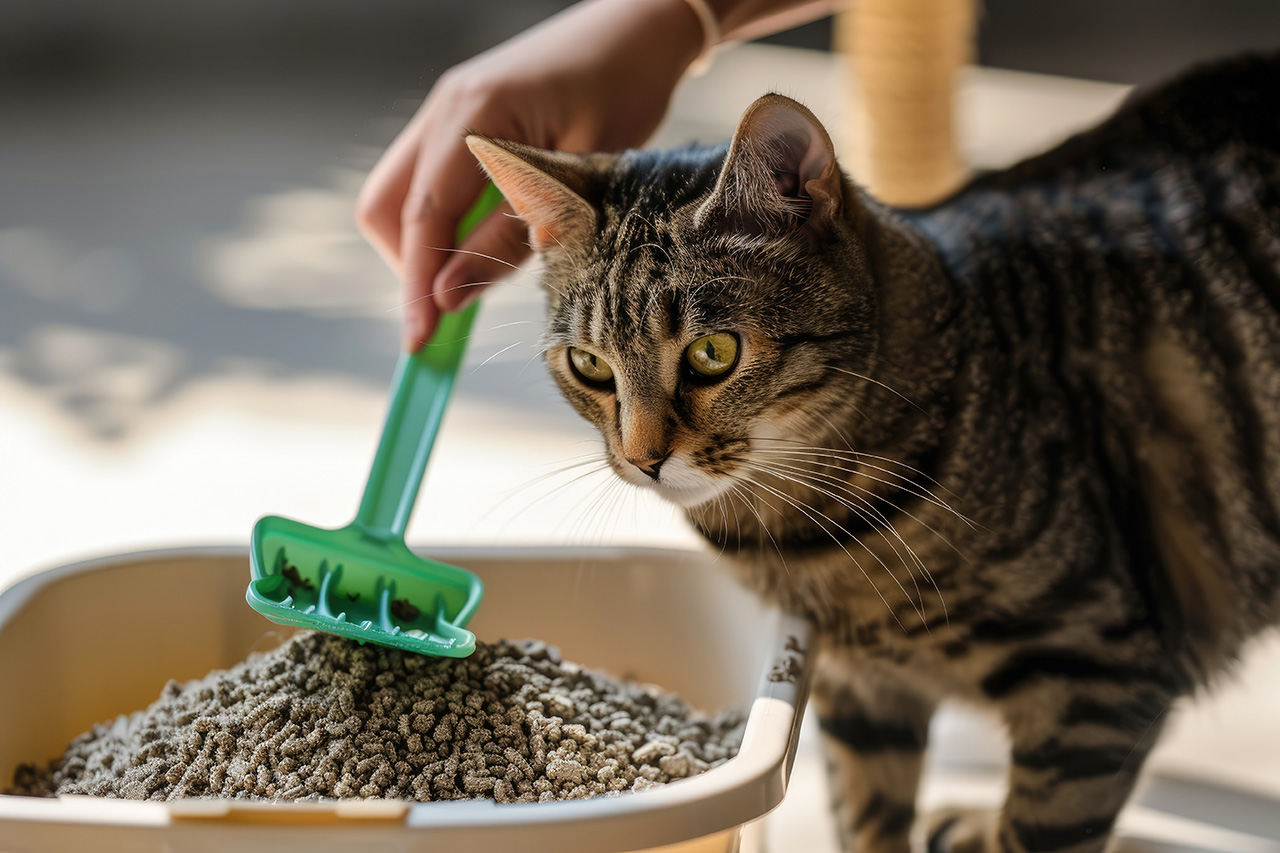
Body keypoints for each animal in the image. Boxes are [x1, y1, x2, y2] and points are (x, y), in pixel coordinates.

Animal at [465, 54, 1280, 850]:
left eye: (712, 353)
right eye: (589, 367)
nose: (642, 459)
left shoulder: (1094, 674)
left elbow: (1039, 830)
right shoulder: (861, 692)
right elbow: (869, 822)